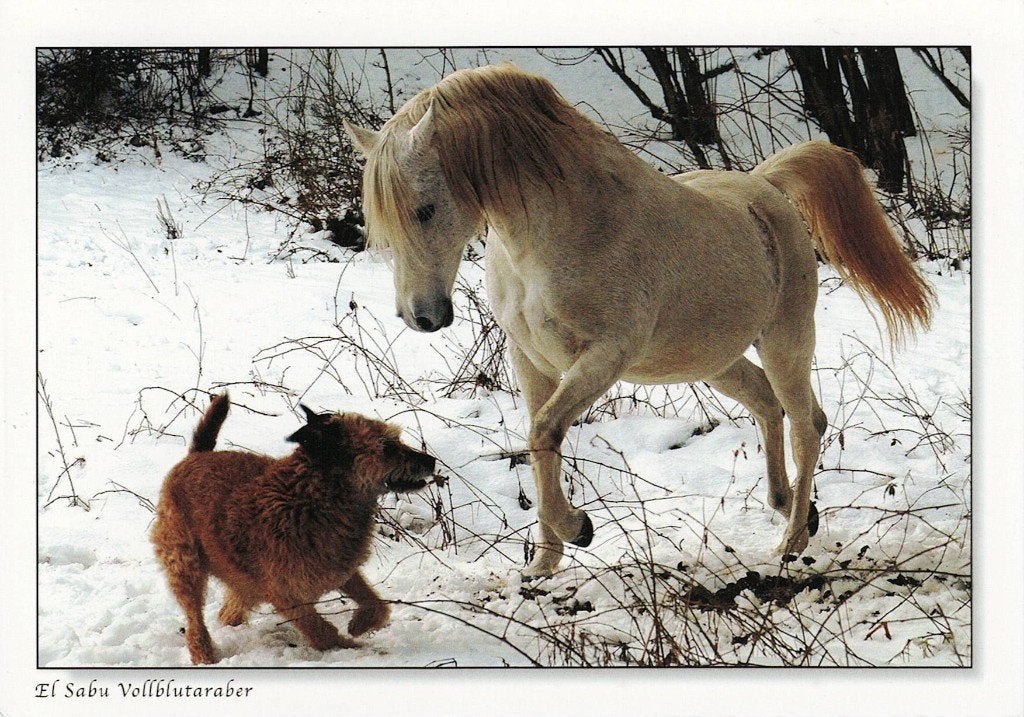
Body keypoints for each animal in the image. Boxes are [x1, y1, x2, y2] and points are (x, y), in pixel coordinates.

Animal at [343, 63, 934, 576]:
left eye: (424, 208)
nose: (422, 316)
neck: (558, 232)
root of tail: (765, 188)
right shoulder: (531, 360)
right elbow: (538, 443)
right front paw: (543, 566)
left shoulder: (605, 355)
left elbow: (544, 430)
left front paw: (578, 530)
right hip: (713, 360)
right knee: (772, 406)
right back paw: (793, 507)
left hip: (785, 341)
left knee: (807, 424)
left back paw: (790, 541)